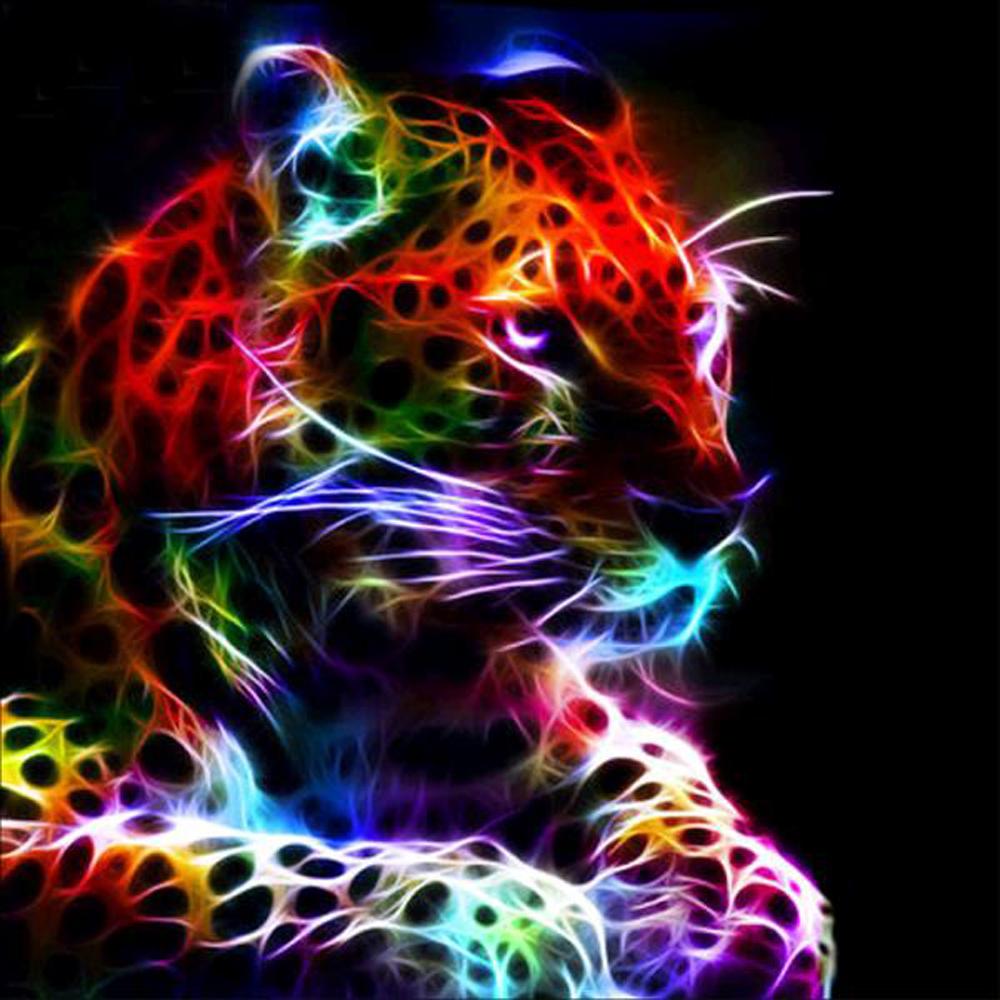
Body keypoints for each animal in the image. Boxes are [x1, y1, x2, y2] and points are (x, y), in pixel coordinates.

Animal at [1, 38, 834, 998]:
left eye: (696, 321)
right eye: (534, 334)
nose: (712, 515)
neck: (341, 654)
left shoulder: (533, 724)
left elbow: (662, 779)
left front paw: (747, 909)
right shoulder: (24, 816)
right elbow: (204, 873)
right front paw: (498, 917)